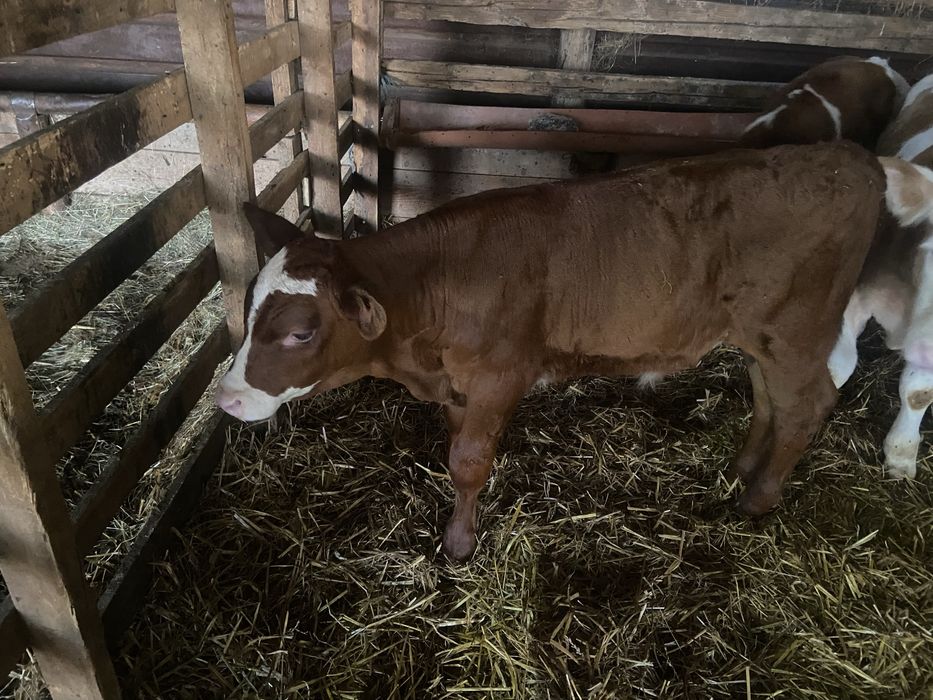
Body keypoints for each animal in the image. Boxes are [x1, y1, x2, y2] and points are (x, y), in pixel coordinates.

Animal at [216, 143, 887, 561]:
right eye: (249, 308)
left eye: (300, 332)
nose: (226, 399)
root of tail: (850, 157)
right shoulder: (458, 385)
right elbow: (457, 446)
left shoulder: (500, 375)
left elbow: (468, 461)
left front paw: (458, 546)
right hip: (759, 337)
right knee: (768, 394)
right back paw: (744, 468)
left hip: (798, 330)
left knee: (808, 404)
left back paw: (758, 500)